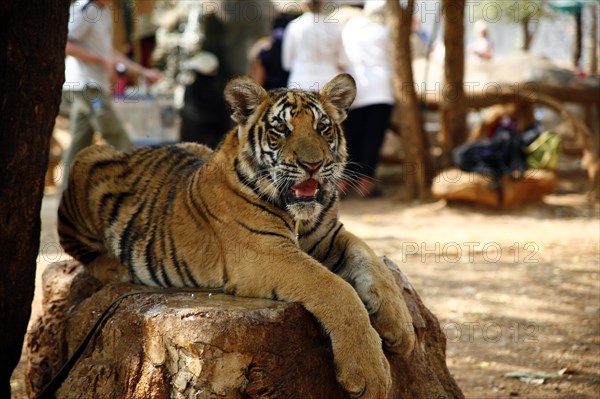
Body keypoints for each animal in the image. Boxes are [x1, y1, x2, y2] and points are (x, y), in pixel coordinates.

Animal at [58, 73, 414, 398]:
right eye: (281, 129)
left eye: (323, 128)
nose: (312, 165)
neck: (299, 217)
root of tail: (132, 152)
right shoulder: (265, 251)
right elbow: (336, 289)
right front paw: (369, 372)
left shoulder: (330, 236)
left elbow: (372, 263)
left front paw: (402, 328)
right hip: (87, 162)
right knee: (75, 246)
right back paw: (115, 268)